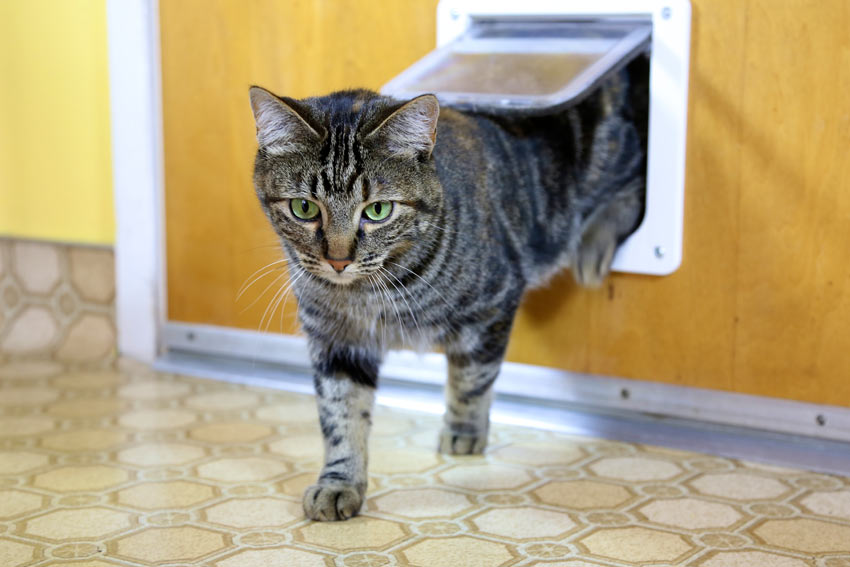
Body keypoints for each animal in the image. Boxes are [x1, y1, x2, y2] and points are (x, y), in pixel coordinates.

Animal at [248, 60, 644, 520]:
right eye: (304, 208)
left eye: (377, 210)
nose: (338, 260)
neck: (369, 291)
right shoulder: (336, 341)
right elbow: (340, 415)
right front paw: (339, 482)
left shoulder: (492, 307)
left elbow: (472, 379)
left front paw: (464, 431)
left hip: (608, 152)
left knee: (635, 179)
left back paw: (595, 244)